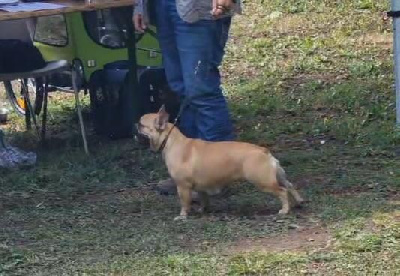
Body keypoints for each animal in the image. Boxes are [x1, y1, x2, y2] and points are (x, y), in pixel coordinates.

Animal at [137, 105, 304, 220]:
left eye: (142, 124)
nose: (135, 124)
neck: (170, 140)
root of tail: (264, 151)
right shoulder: (201, 187)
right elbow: (204, 199)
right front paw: (203, 210)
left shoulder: (183, 186)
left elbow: (184, 203)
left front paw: (183, 216)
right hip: (277, 176)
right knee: (289, 185)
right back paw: (299, 202)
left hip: (262, 181)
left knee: (282, 191)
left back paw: (284, 210)